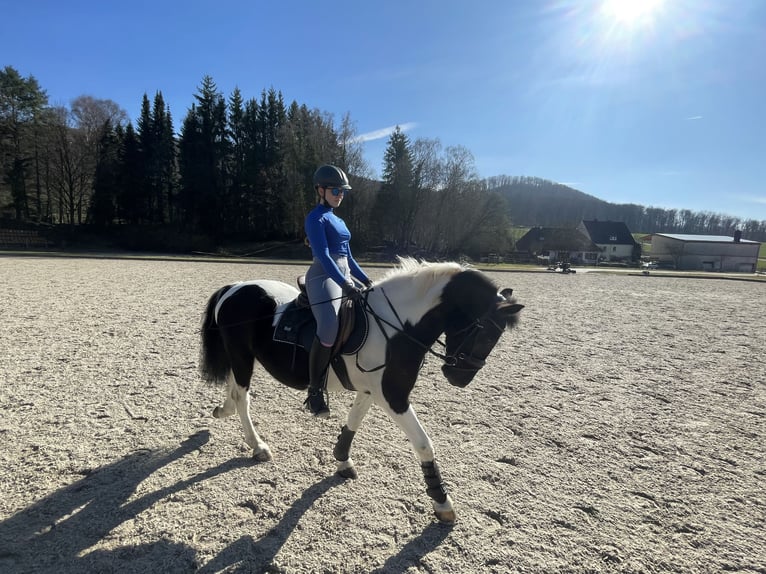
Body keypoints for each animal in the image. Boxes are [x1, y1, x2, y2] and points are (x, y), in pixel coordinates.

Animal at [198, 258, 524, 524]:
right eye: (486, 334)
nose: (460, 378)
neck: (396, 328)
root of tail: (234, 287)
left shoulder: (370, 392)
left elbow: (353, 422)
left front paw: (342, 460)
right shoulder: (393, 397)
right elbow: (424, 444)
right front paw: (442, 503)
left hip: (241, 357)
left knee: (235, 389)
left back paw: (223, 410)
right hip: (241, 355)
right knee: (243, 398)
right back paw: (257, 445)